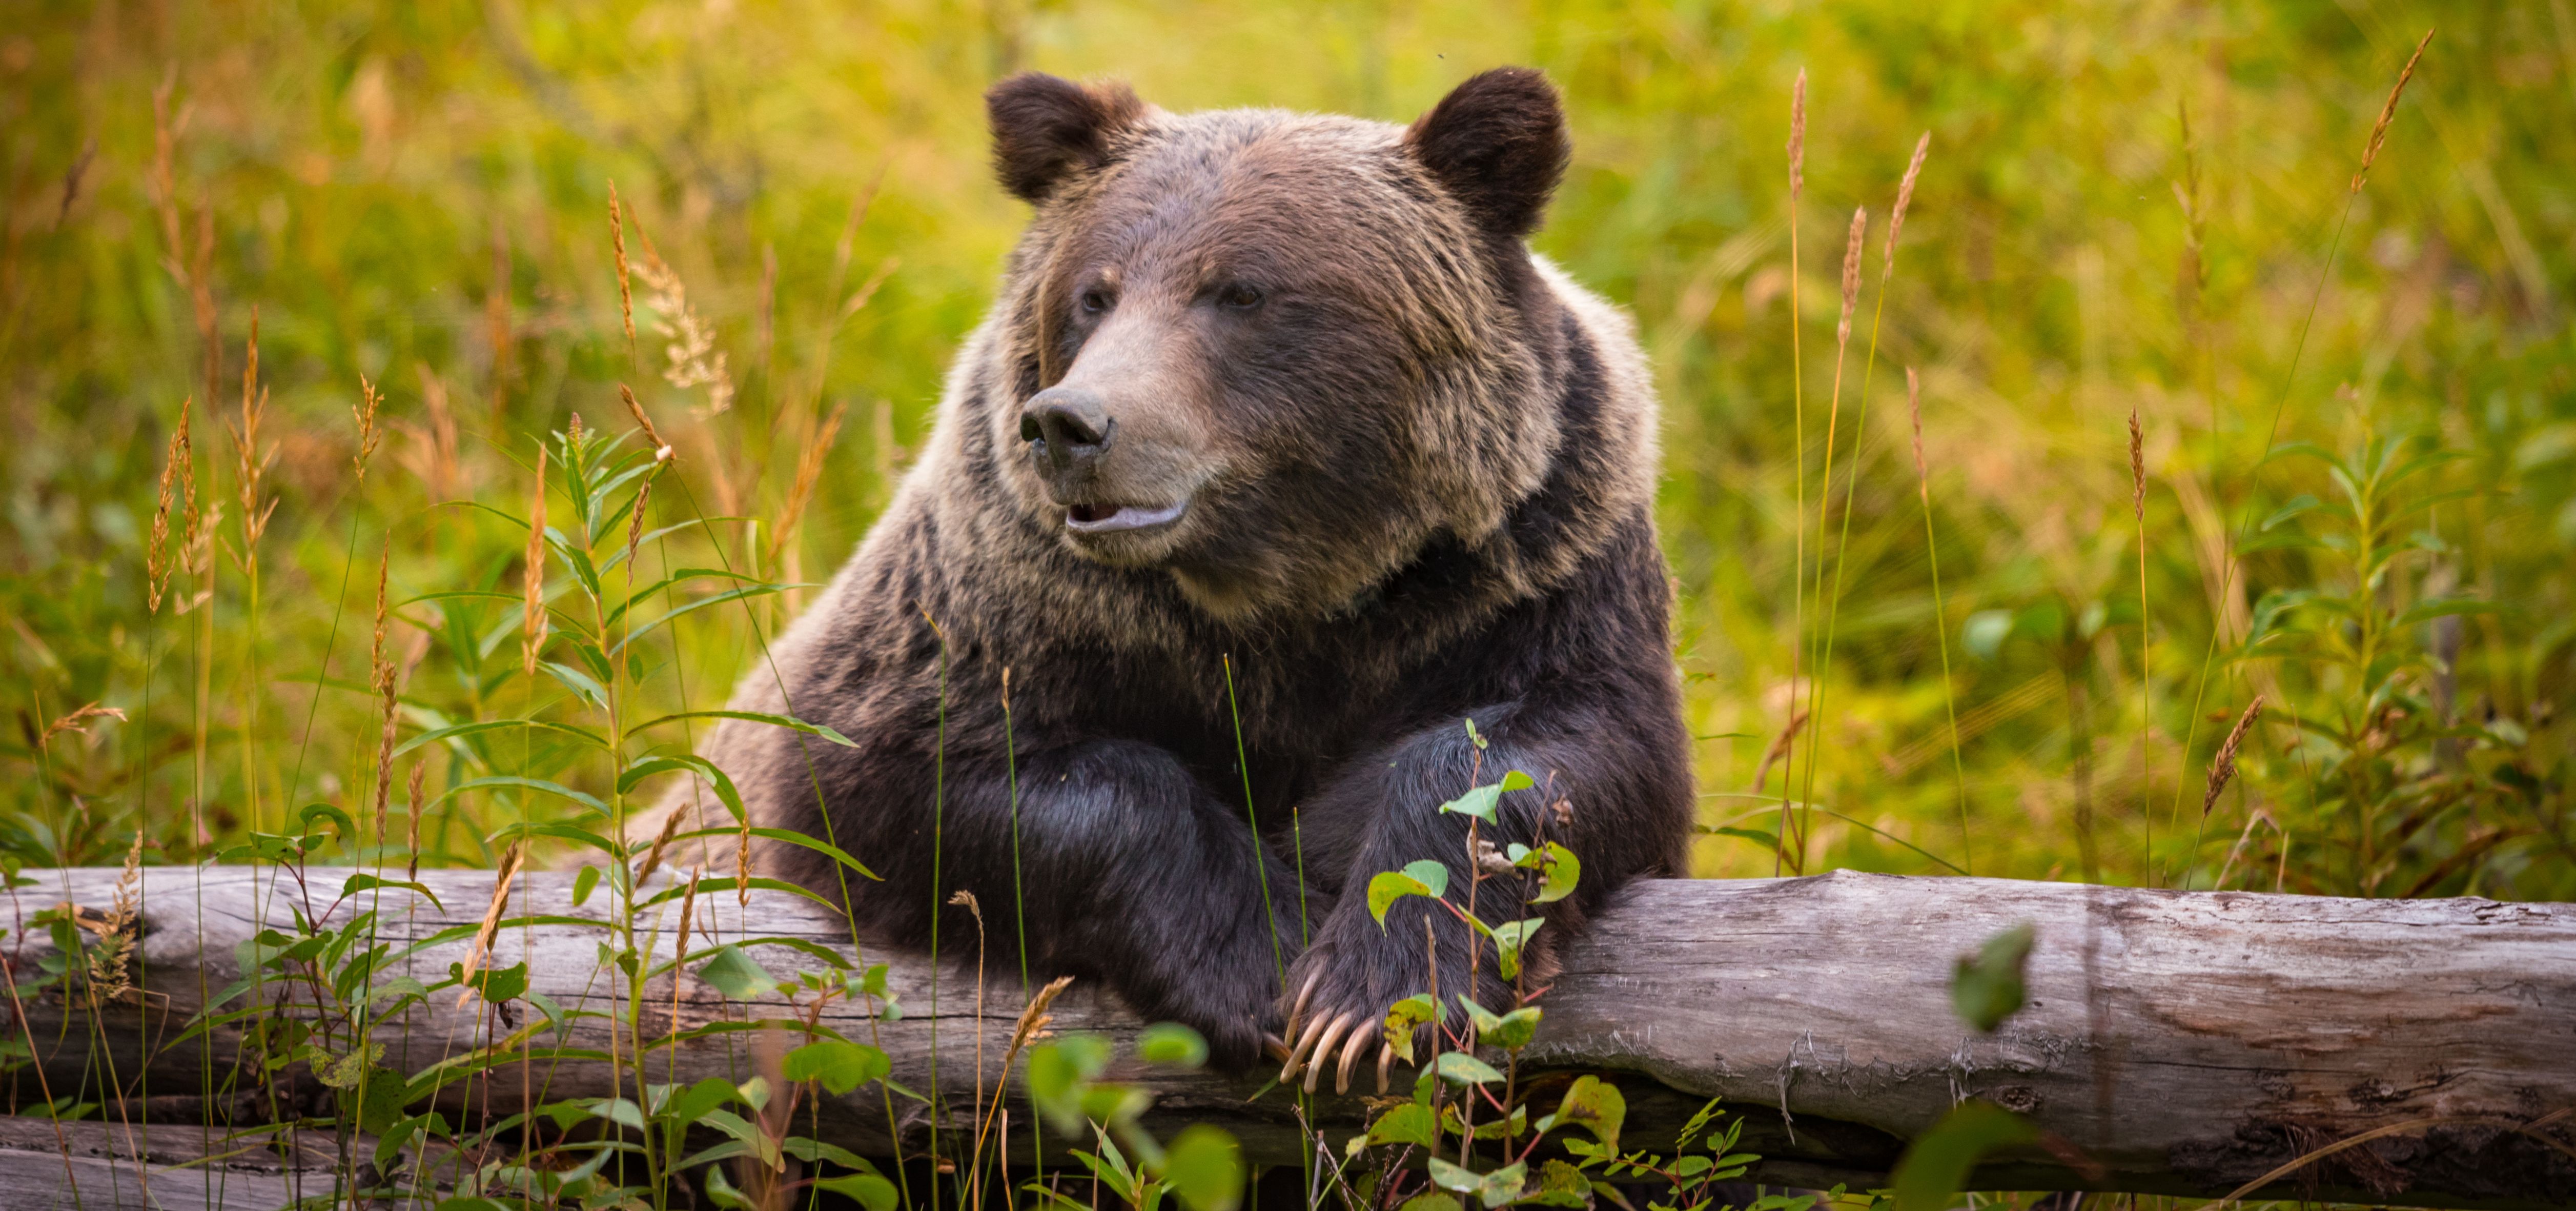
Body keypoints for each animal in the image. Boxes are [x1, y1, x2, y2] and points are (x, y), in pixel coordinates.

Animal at [685, 66, 1692, 1090]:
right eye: (1094, 294)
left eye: (1240, 290)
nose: (1070, 424)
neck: (1280, 592)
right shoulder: (999, 608)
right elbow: (905, 767)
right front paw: (1264, 957)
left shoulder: (1531, 575)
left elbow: (1553, 750)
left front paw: (1368, 991)